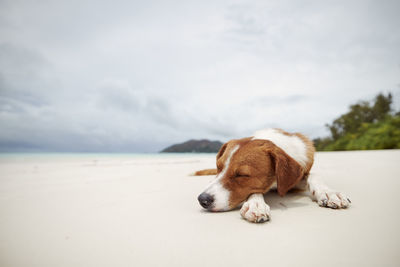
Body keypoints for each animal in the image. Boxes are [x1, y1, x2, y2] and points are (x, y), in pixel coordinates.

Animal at [196, 129, 350, 224]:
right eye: (219, 167)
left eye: (242, 175)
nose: (202, 200)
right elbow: (255, 191)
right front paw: (256, 204)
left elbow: (314, 175)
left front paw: (329, 192)